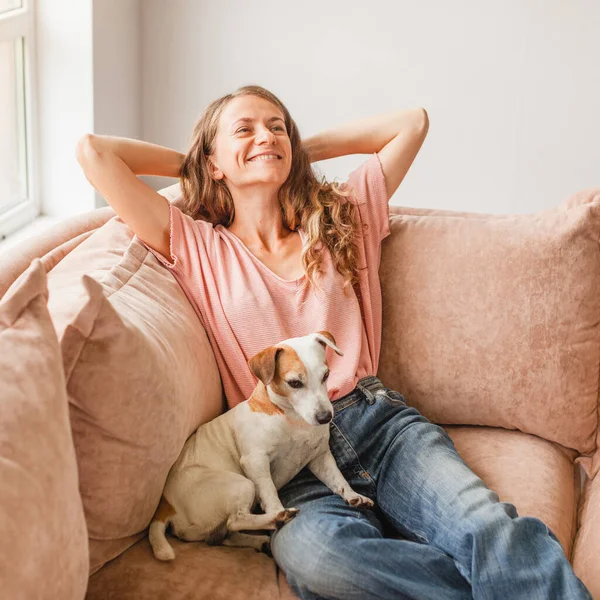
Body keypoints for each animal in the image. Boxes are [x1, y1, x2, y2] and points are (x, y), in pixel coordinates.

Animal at [149, 330, 372, 560]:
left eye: (326, 375)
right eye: (294, 383)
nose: (325, 417)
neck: (292, 418)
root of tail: (166, 505)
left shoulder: (319, 457)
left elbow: (338, 479)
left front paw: (354, 496)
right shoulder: (255, 461)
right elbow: (269, 491)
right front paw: (277, 510)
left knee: (226, 534)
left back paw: (259, 541)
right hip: (241, 484)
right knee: (235, 520)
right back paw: (277, 518)